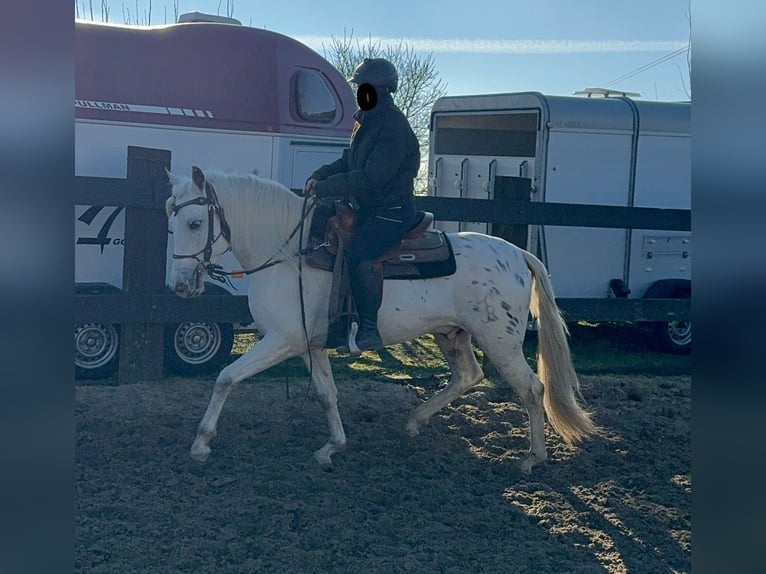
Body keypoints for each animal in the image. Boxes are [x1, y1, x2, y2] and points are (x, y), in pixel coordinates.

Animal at [166, 165, 600, 472]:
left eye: (194, 223)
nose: (180, 286)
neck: (289, 254)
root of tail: (517, 254)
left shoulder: (281, 340)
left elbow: (226, 378)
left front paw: (201, 443)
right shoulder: (309, 345)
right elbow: (326, 393)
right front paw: (332, 447)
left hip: (501, 341)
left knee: (531, 389)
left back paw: (533, 458)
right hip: (452, 334)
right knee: (468, 376)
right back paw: (414, 421)